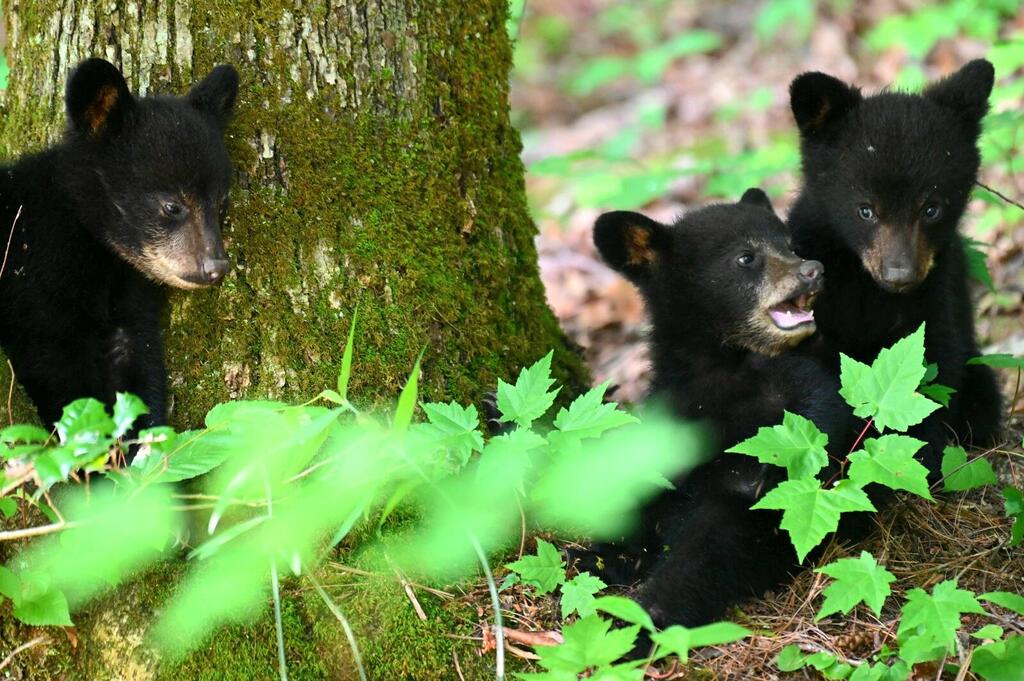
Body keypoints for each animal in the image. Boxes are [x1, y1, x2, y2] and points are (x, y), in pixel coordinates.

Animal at [0, 58, 239, 438]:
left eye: (221, 203)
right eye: (172, 205)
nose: (215, 266)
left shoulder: (130, 296)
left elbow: (138, 361)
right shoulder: (33, 281)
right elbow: (55, 367)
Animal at [590, 189, 858, 628]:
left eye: (790, 245)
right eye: (746, 257)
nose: (812, 270)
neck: (721, 364)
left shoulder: (794, 375)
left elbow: (825, 413)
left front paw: (776, 470)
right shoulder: (672, 406)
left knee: (708, 554)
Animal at [787, 60, 1003, 473]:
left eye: (932, 208)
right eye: (865, 210)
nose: (900, 274)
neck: (866, 288)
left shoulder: (936, 298)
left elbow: (932, 372)